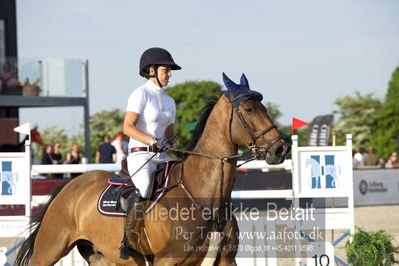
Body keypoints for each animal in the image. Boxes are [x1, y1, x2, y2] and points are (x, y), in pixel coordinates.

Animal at [16, 73, 290, 266]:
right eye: (249, 109)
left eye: (264, 108)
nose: (281, 149)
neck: (204, 197)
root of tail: (70, 185)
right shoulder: (167, 262)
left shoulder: (225, 261)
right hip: (49, 250)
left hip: (101, 257)